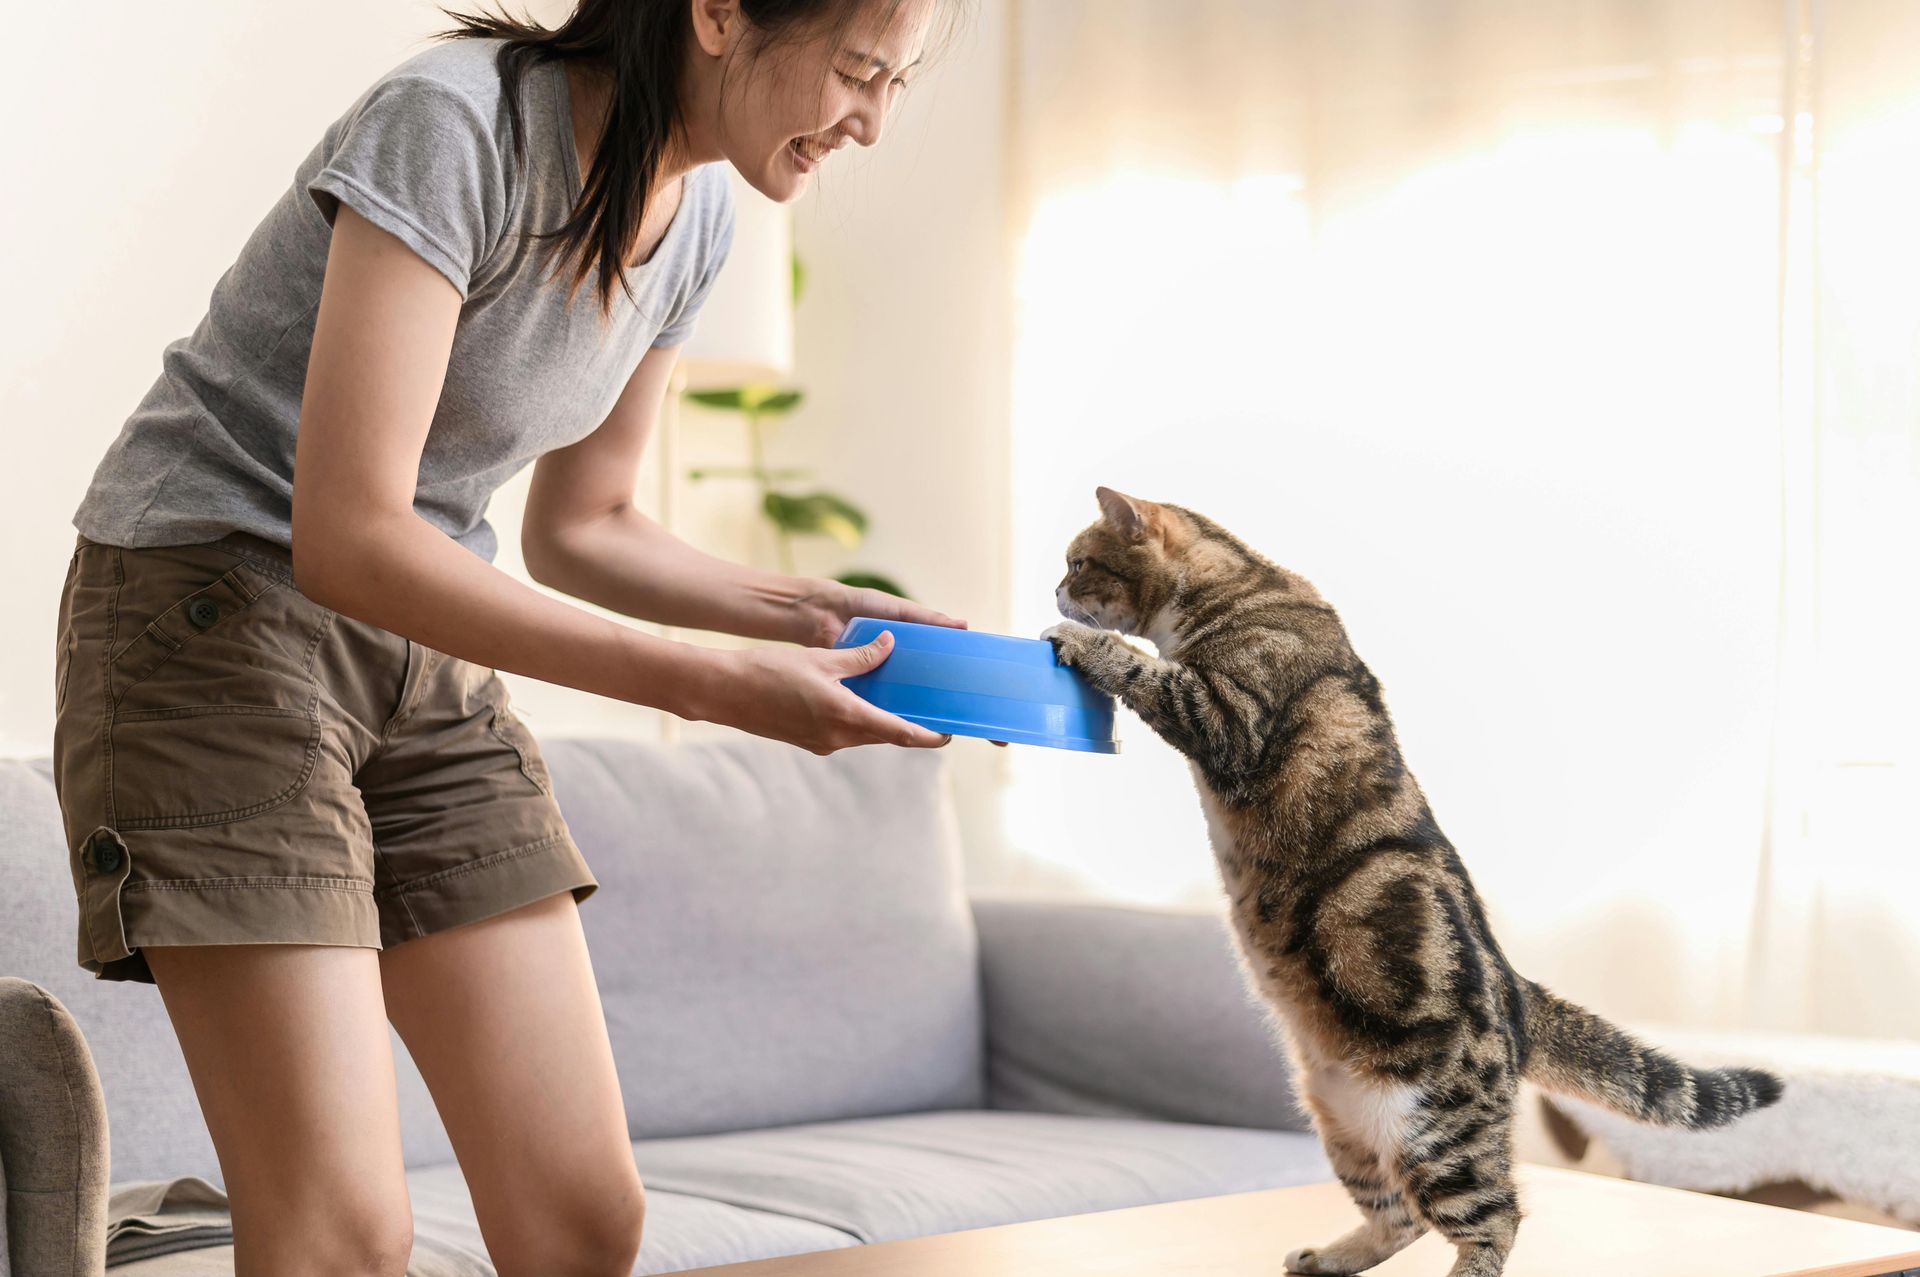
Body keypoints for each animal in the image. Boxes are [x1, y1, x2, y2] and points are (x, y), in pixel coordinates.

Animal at [1044, 485, 1774, 1275]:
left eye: (1079, 562)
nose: (1054, 587)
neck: (1246, 587)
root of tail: (1515, 986)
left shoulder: (1230, 716)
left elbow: (1146, 672)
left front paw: (1077, 640)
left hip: (1438, 1131)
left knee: (1494, 1217)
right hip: (1342, 1119)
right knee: (1398, 1214)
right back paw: (1328, 1258)